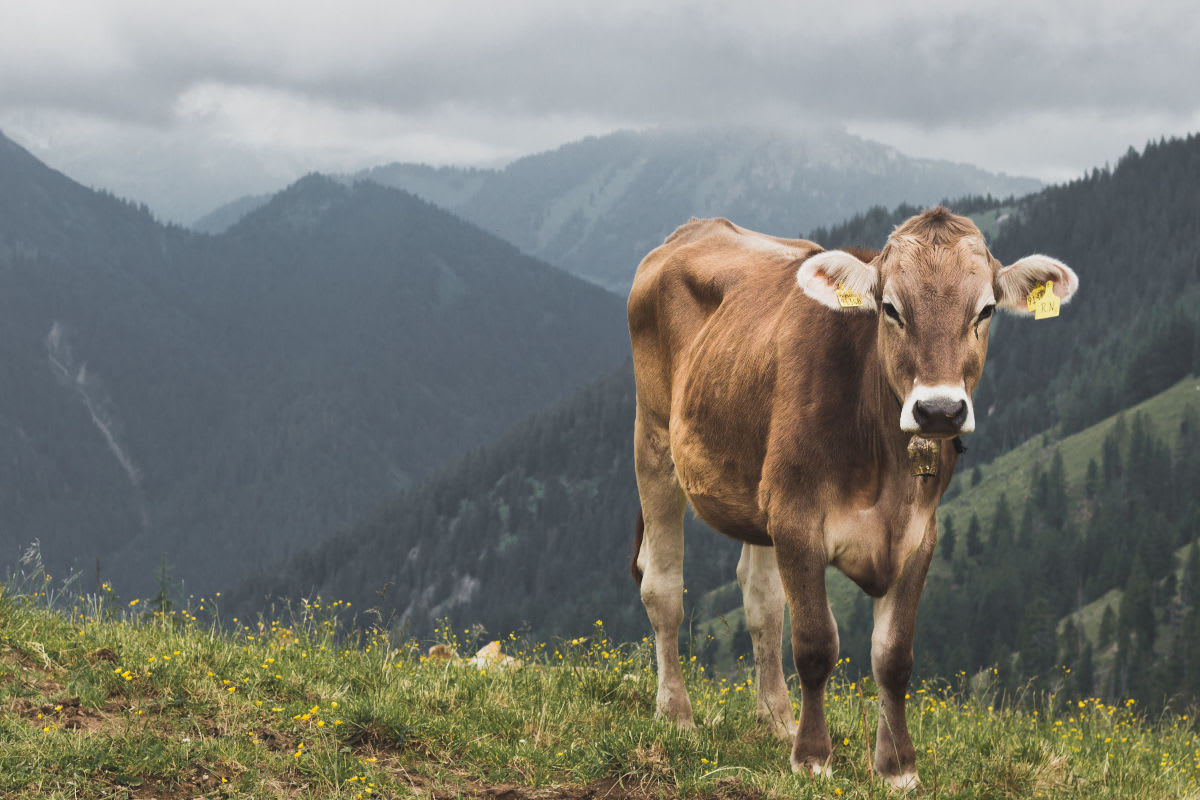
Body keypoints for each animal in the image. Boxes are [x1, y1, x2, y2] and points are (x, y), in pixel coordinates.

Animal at [627, 208, 1078, 789]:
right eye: (891, 308)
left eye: (985, 309)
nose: (939, 410)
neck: (884, 466)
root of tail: (697, 226)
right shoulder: (796, 520)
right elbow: (817, 643)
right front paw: (813, 758)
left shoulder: (919, 535)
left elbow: (893, 656)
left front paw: (897, 767)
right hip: (654, 441)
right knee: (663, 588)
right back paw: (676, 713)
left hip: (757, 489)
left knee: (761, 602)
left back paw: (776, 720)